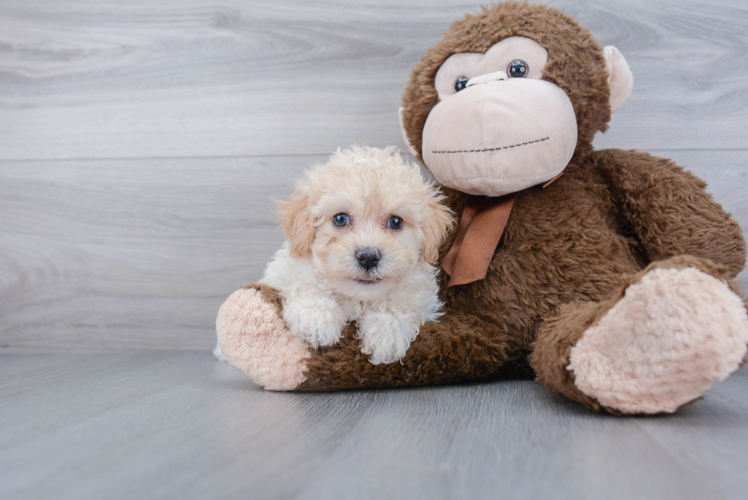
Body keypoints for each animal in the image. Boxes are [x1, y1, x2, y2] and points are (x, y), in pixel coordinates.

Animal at [260, 145, 452, 364]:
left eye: (396, 222)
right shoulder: (285, 271)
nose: (368, 257)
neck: (358, 298)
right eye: (340, 219)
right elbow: (307, 281)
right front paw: (316, 317)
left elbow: (399, 302)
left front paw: (386, 331)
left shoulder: (422, 298)